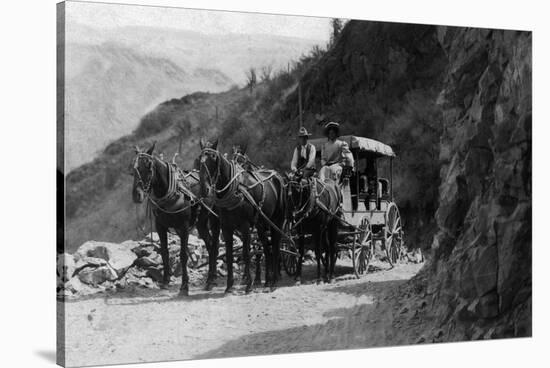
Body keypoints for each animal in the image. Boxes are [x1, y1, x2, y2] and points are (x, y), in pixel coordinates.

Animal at [133, 142, 221, 296]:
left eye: (149, 166)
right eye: (133, 169)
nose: (136, 195)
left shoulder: (184, 227)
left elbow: (183, 255)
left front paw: (184, 286)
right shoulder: (160, 226)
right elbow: (164, 252)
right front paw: (165, 281)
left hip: (211, 219)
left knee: (214, 246)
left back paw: (211, 280)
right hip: (201, 224)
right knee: (210, 245)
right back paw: (211, 278)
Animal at [198, 139, 286, 294]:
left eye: (213, 158)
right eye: (199, 159)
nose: (204, 188)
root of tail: (277, 176)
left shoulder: (245, 226)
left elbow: (246, 253)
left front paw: (249, 284)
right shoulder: (226, 227)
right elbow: (229, 254)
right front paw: (229, 285)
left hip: (277, 221)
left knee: (275, 246)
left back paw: (274, 280)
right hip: (261, 224)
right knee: (266, 247)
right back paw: (267, 281)